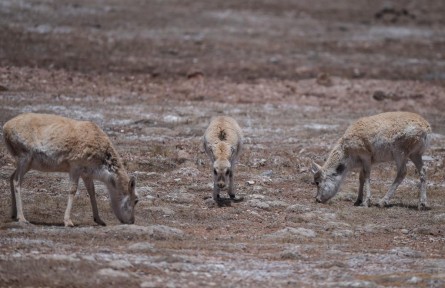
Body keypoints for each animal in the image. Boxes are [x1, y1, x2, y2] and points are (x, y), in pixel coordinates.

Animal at [2, 113, 138, 227]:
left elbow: (92, 191)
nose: (131, 221)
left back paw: (13, 214)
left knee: (11, 177)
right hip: (25, 158)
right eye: (136, 200)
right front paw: (68, 221)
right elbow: (72, 190)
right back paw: (22, 218)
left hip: (27, 163)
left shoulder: (86, 174)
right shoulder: (75, 167)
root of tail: (5, 127)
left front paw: (99, 220)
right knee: (16, 181)